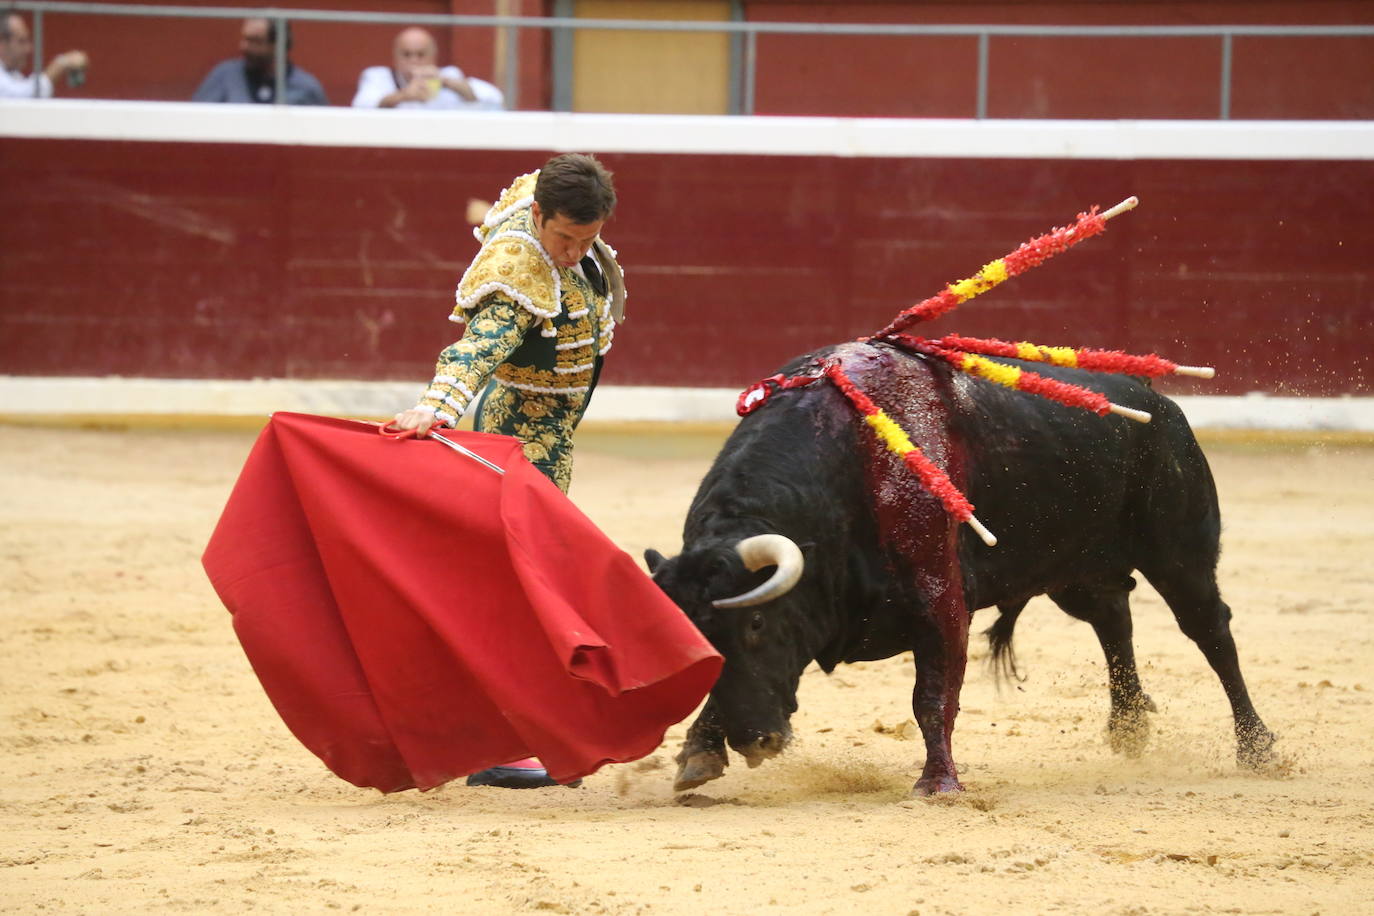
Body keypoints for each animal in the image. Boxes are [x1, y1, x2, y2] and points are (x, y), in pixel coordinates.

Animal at [648, 340, 1269, 796]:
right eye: (696, 635)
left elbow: (932, 696)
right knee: (1114, 619)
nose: (756, 741)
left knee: (1210, 631)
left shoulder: (941, 598)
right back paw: (1129, 729)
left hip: (1179, 551)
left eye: (757, 623)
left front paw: (938, 783)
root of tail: (1155, 401)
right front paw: (699, 754)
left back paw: (1258, 749)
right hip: (1074, 571)